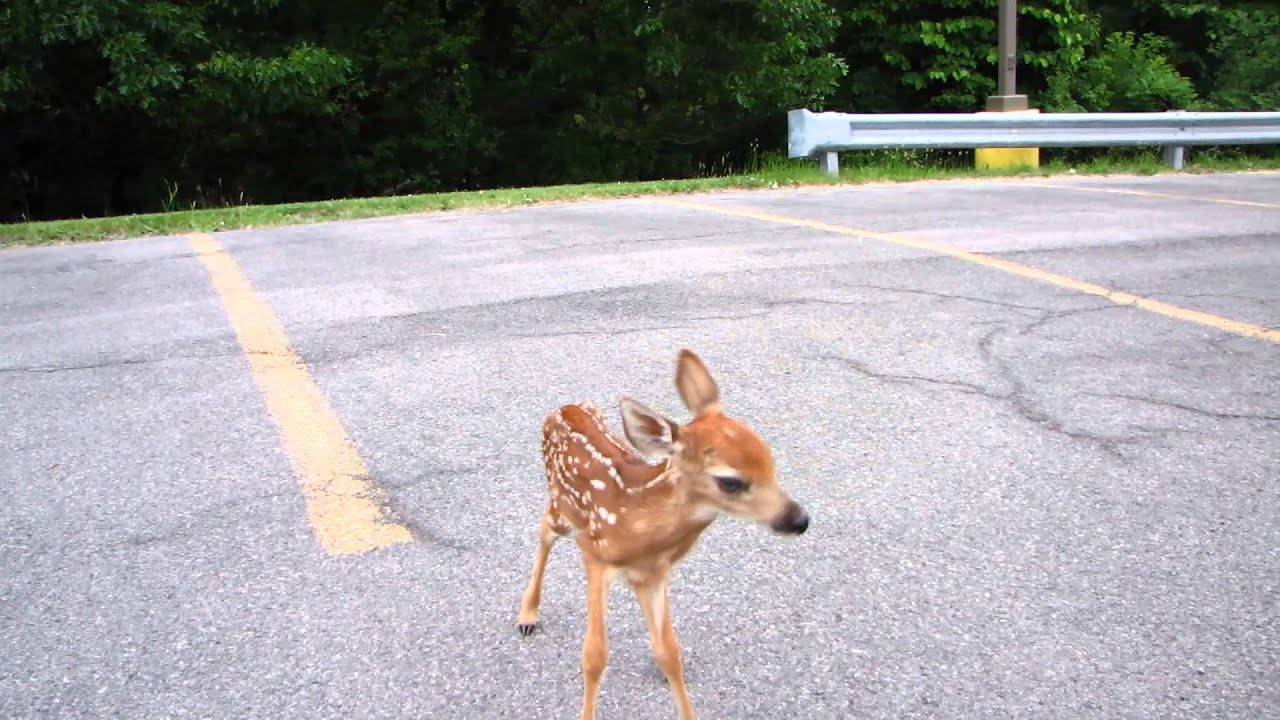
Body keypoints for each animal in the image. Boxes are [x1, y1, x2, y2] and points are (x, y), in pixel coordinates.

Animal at [516, 348, 810, 720]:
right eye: (730, 481)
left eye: (770, 460)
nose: (799, 519)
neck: (641, 526)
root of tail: (564, 407)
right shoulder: (595, 555)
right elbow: (594, 656)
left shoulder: (655, 573)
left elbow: (670, 652)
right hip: (561, 510)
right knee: (543, 530)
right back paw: (527, 615)